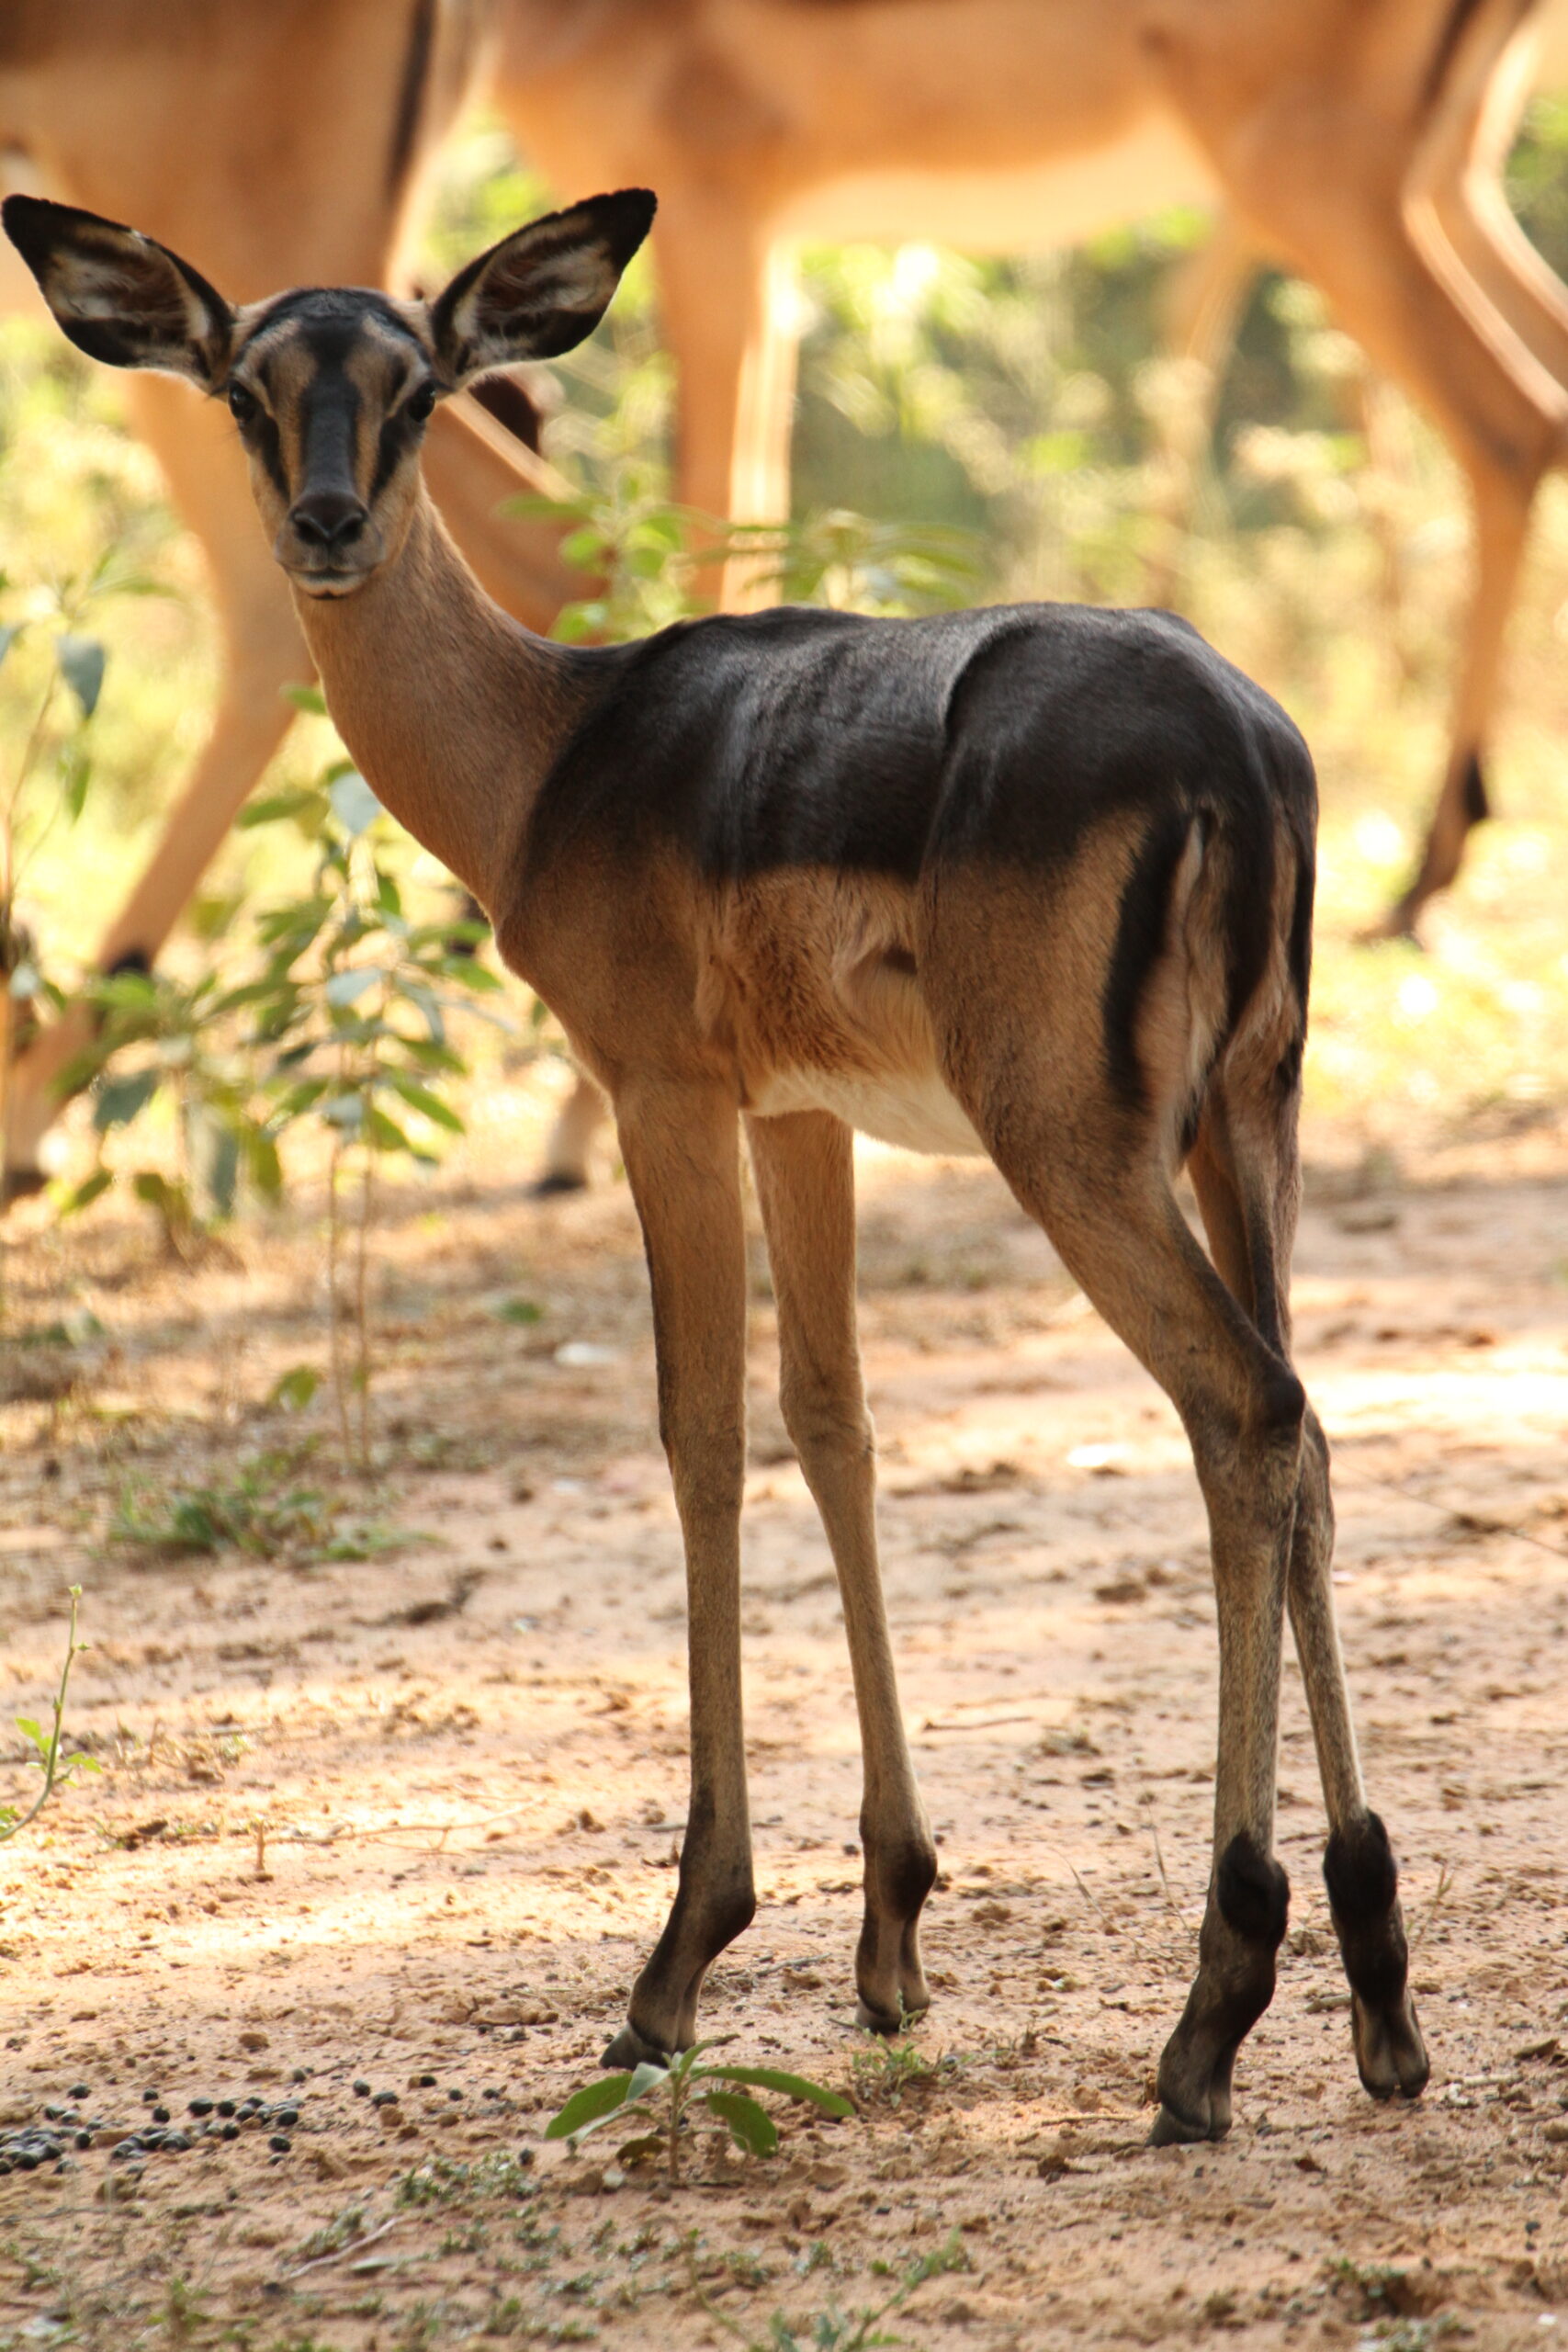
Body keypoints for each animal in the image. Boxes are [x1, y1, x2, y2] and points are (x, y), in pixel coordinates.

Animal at [5, 186, 1432, 2139]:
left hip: (1075, 1148)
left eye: (414, 383)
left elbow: (697, 1438)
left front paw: (679, 1961)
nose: (327, 523)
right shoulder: (799, 1113)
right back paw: (1378, 1998)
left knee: (1244, 1413)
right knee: (1313, 1435)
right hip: (1246, 1121)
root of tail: (1232, 738)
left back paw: (1211, 2019)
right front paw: (890, 1938)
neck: (554, 749)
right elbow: (833, 1425)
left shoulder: (661, 1097)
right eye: (245, 384)